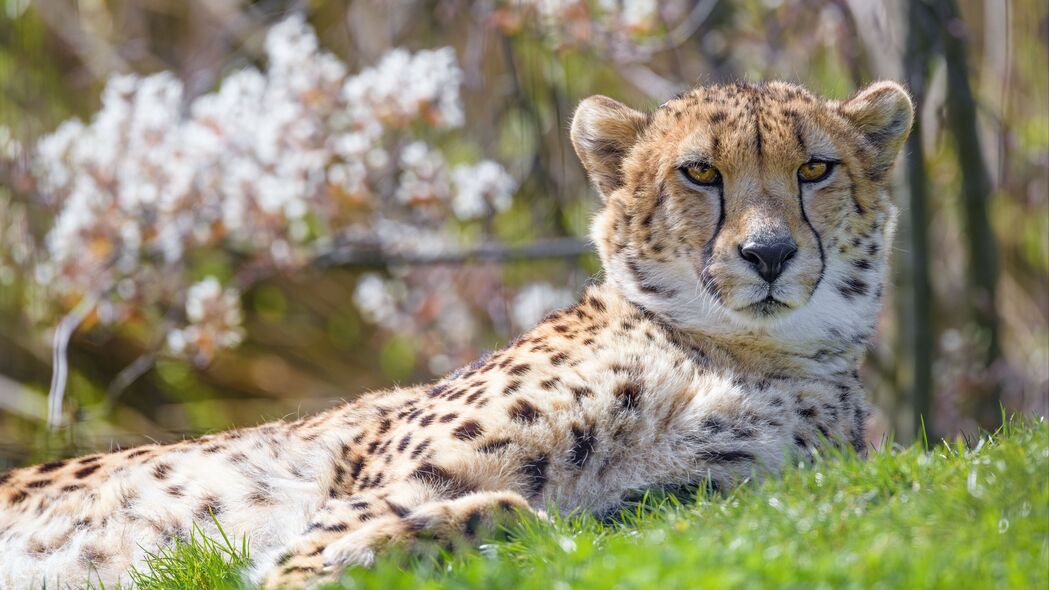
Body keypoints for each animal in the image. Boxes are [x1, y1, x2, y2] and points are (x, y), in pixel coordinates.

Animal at [0, 80, 910, 583]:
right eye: (699, 172)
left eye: (815, 169)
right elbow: (485, 508)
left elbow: (532, 516)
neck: (731, 349)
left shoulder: (703, 499)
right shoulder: (373, 492)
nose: (768, 254)